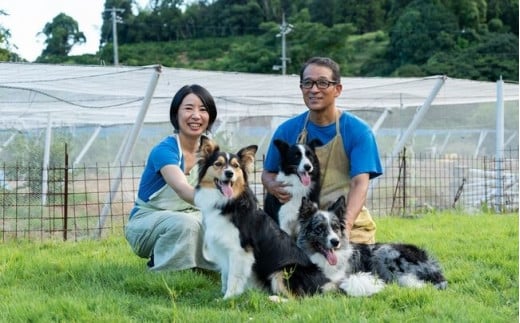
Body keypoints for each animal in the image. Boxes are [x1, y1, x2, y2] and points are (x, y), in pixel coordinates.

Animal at [193, 138, 336, 300]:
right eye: (218, 164)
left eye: (235, 166)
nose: (229, 173)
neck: (229, 203)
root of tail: (322, 284)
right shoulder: (223, 249)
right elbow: (225, 274)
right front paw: (221, 295)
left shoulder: (240, 251)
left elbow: (233, 278)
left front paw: (228, 298)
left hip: (282, 271)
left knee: (298, 299)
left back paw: (274, 298)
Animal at [296, 196, 446, 298]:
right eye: (319, 229)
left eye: (336, 227)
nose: (335, 242)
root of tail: (432, 265)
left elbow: (336, 285)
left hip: (383, 252)